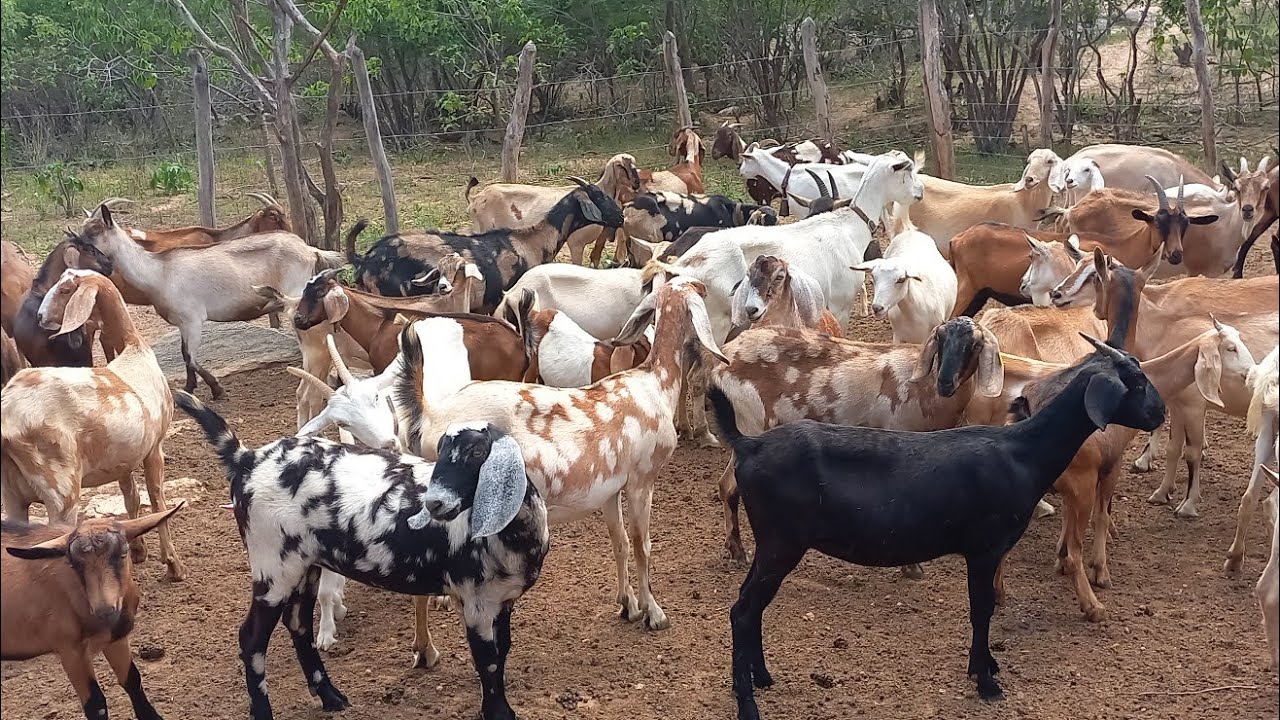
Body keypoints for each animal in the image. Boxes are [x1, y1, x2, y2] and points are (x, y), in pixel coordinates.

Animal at [1, 269, 185, 579]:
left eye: (65, 290)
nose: (40, 317)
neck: (134, 349)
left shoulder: (123, 457)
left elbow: (131, 497)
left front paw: (138, 552)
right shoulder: (154, 447)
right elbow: (157, 500)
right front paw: (173, 564)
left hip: (12, 495)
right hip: (60, 488)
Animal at [2, 504, 183, 719]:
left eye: (124, 552)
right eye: (74, 564)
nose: (105, 610)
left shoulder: (116, 637)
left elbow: (132, 679)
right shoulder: (70, 649)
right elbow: (96, 704)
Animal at [75, 204, 343, 398]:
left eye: (95, 231)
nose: (77, 251)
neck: (159, 272)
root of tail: (310, 251)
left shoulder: (193, 319)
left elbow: (191, 356)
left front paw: (216, 389)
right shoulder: (182, 323)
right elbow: (184, 355)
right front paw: (189, 387)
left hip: (297, 297)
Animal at [176, 389, 548, 720]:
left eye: (477, 452)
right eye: (442, 450)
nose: (433, 503)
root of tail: (247, 459)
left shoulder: (502, 599)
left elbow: (503, 652)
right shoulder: (476, 601)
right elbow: (488, 661)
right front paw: (499, 713)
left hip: (304, 564)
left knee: (298, 623)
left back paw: (330, 697)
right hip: (272, 565)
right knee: (251, 639)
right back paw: (266, 711)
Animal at [708, 318, 1005, 564]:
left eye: (975, 345)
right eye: (940, 339)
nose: (945, 382)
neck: (924, 388)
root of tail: (725, 358)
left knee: (726, 485)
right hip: (751, 423)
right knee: (729, 487)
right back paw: (737, 550)